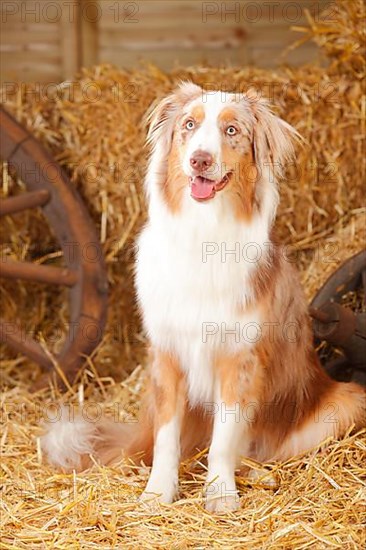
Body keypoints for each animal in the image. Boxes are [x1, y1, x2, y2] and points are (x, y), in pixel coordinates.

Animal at [41, 82, 364, 512]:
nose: (199, 159)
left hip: (346, 401)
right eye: (189, 125)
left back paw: (260, 475)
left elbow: (223, 440)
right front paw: (158, 492)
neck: (204, 230)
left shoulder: (238, 358)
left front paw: (221, 493)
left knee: (259, 451)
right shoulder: (167, 354)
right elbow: (166, 439)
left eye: (232, 131)